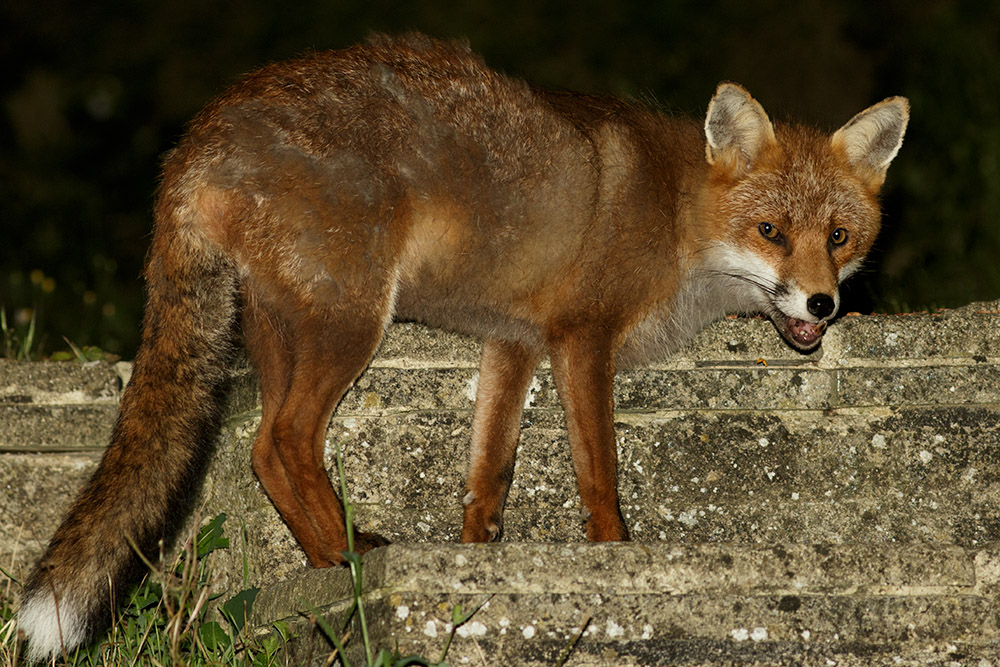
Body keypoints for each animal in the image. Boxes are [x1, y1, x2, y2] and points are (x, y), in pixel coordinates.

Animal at [19, 33, 907, 660]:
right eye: (771, 232)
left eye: (838, 236)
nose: (823, 304)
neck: (676, 215)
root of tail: (199, 136)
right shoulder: (580, 336)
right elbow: (600, 472)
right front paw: (615, 558)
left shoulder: (512, 343)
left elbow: (489, 478)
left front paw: (477, 564)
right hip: (352, 323)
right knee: (285, 442)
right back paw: (346, 559)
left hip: (279, 330)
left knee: (269, 450)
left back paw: (327, 559)